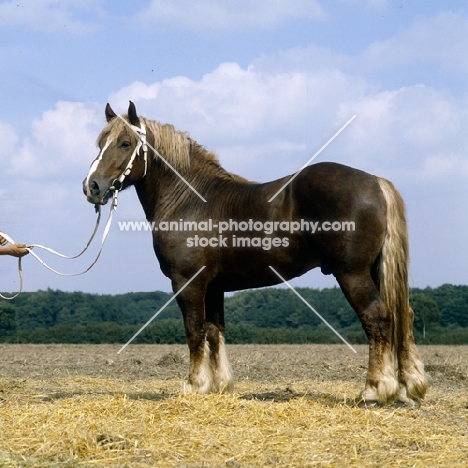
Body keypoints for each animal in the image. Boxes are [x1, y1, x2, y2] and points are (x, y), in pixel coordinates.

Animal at [83, 101, 428, 406]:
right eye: (100, 143)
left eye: (125, 143)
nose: (92, 187)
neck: (190, 199)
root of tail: (375, 182)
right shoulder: (214, 287)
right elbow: (214, 332)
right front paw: (218, 385)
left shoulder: (188, 283)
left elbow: (194, 331)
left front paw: (194, 385)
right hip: (373, 270)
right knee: (402, 315)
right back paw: (406, 388)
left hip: (352, 273)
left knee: (377, 318)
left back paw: (374, 389)